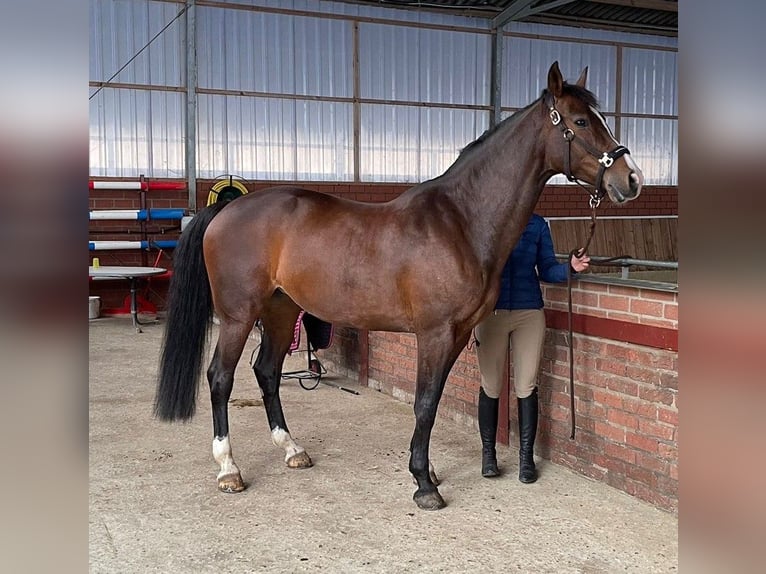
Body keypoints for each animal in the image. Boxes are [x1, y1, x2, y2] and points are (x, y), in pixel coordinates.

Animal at [154, 61, 643, 511]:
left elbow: (432, 402)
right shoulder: (435, 333)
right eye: (580, 121)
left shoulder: (457, 335)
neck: (461, 221)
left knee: (267, 372)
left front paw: (427, 472)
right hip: (240, 315)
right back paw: (229, 469)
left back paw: (292, 450)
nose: (631, 178)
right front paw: (424, 485)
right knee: (220, 377)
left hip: (281, 310)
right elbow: (424, 403)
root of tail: (227, 209)